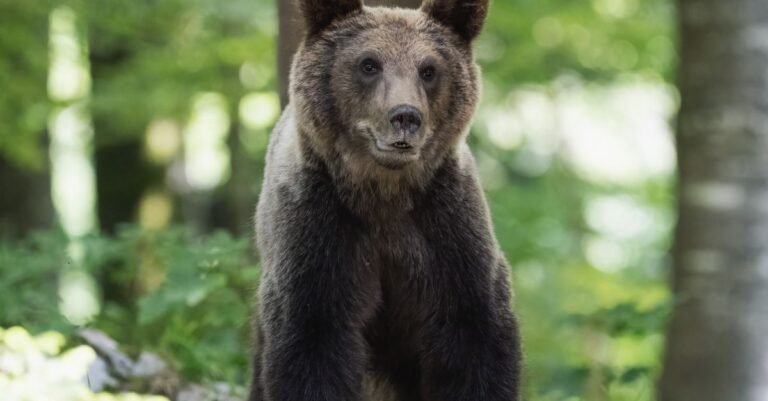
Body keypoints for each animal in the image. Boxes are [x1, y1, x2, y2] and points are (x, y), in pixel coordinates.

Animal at [250, 0, 522, 400]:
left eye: (428, 69)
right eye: (369, 64)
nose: (405, 116)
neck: (384, 194)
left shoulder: (448, 232)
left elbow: (475, 340)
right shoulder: (318, 234)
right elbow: (312, 343)